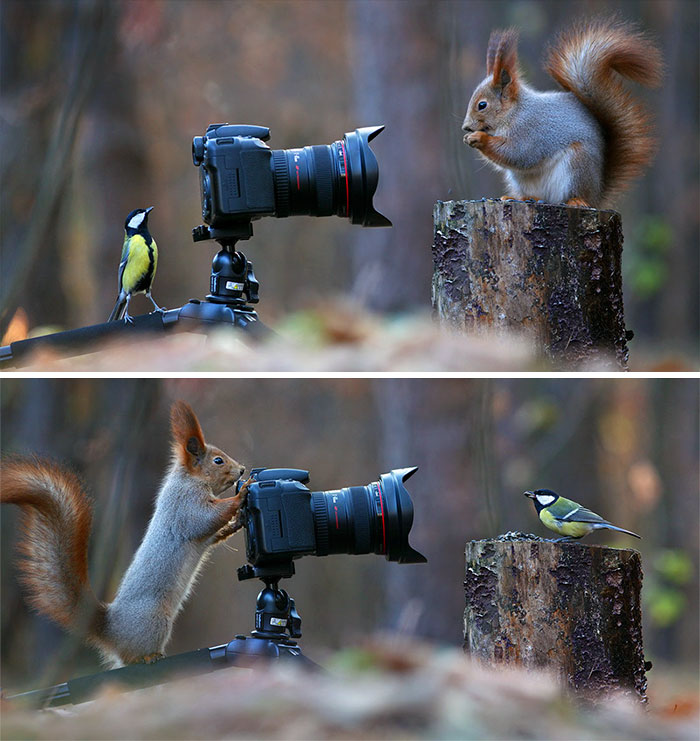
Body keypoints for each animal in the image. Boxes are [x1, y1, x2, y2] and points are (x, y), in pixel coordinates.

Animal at [1, 400, 251, 668]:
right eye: (218, 461)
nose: (242, 469)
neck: (188, 479)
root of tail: (112, 630)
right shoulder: (184, 506)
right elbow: (205, 519)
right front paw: (242, 494)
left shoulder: (200, 527)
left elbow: (213, 534)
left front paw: (237, 522)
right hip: (155, 621)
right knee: (132, 657)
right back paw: (149, 656)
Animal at [462, 19, 663, 208]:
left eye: (482, 105)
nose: (466, 127)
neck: (514, 113)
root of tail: (596, 195)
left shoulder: (530, 131)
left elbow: (518, 153)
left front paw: (479, 138)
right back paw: (521, 198)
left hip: (577, 165)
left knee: (570, 195)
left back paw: (576, 201)